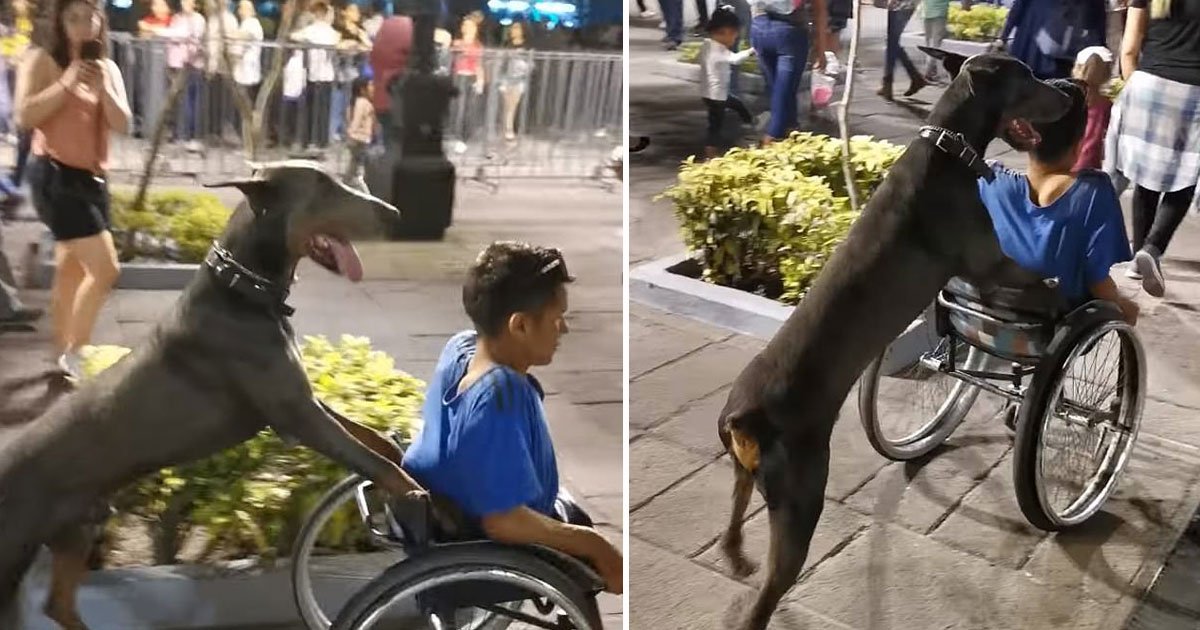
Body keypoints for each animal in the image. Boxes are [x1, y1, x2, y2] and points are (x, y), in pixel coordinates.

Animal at [0, 160, 432, 628]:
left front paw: (405, 461)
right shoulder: (296, 414)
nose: (395, 214)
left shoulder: (303, 397)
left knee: (58, 603)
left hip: (77, 529)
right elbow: (367, 456)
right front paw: (413, 494)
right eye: (324, 188)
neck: (243, 289)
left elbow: (374, 440)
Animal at [715, 50, 1075, 628]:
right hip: (801, 495)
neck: (948, 145)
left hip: (744, 473)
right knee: (769, 591)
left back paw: (736, 556)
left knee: (732, 521)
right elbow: (1037, 275)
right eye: (1027, 76)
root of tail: (742, 417)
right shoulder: (988, 262)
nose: (1066, 90)